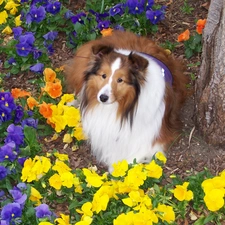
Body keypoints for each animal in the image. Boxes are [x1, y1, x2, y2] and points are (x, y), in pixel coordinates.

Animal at [66, 30, 187, 171]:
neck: (123, 108)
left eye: (120, 80)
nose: (103, 98)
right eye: (103, 75)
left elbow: (130, 160)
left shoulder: (153, 140)